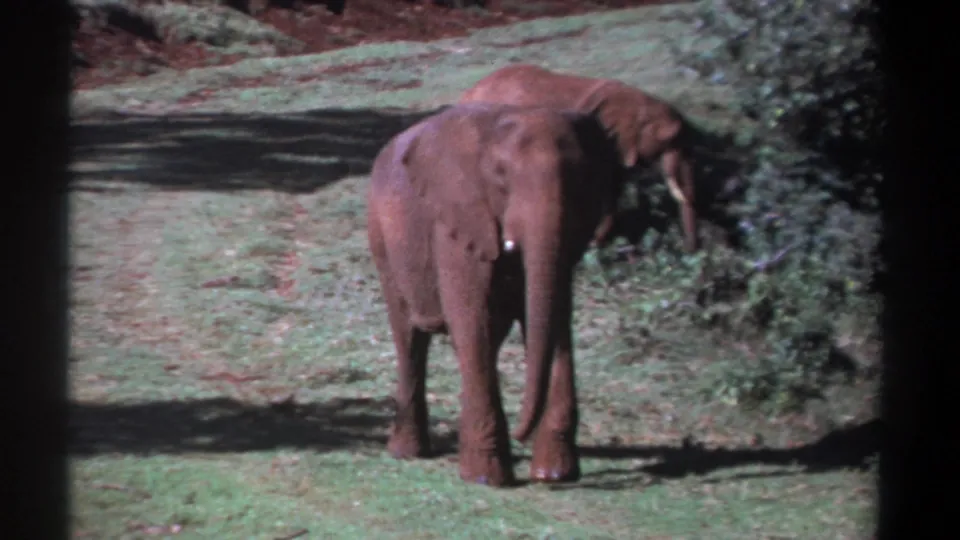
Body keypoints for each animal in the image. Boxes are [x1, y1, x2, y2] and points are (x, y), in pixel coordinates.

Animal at [366, 103, 626, 487]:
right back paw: (407, 453)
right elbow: (471, 321)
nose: (521, 435)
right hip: (382, 239)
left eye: (580, 179)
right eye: (501, 178)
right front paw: (486, 478)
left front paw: (555, 474)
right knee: (410, 336)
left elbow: (556, 318)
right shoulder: (458, 222)